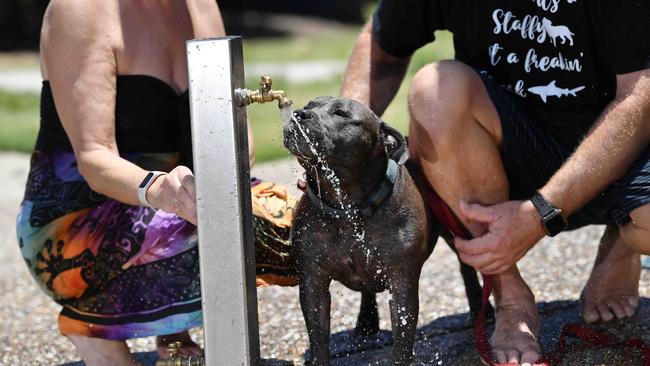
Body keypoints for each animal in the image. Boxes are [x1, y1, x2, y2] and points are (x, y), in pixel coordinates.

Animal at [284, 97, 486, 366]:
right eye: (309, 105)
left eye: (341, 113)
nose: (299, 114)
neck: (348, 207)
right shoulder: (312, 281)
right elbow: (318, 340)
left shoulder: (402, 284)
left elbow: (402, 344)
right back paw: (366, 322)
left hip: (455, 226)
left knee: (468, 266)